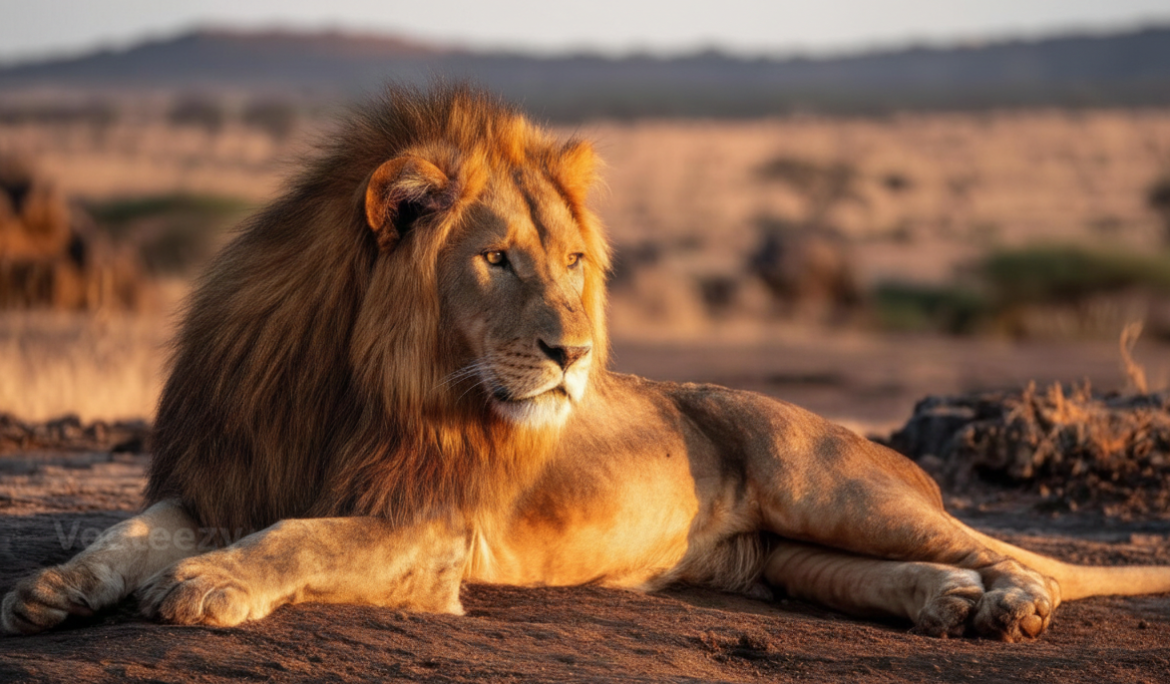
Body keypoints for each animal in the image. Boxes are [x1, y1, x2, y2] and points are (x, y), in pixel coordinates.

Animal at [4, 85, 1169, 641]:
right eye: (497, 259)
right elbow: (129, 532)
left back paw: (1011, 604)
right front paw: (55, 591)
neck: (348, 379)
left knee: (1009, 552)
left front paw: (210, 584)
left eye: (571, 262)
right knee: (888, 572)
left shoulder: (426, 529)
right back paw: (950, 604)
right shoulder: (224, 475)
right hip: (781, 557)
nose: (576, 355)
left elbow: (300, 536)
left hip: (825, 483)